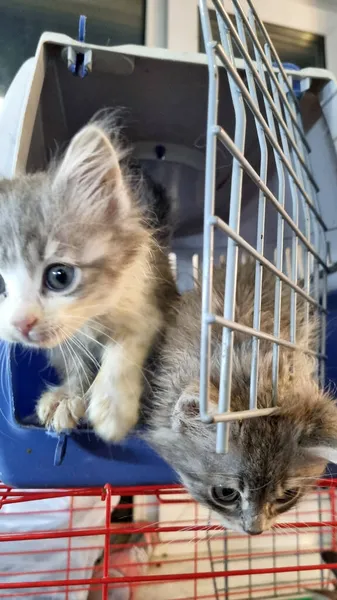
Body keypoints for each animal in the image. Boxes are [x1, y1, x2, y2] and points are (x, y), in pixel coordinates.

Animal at [0, 119, 177, 442]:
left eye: (60, 276)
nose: (22, 324)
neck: (89, 319)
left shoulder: (149, 307)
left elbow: (124, 345)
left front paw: (112, 406)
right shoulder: (63, 346)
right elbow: (76, 365)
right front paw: (68, 396)